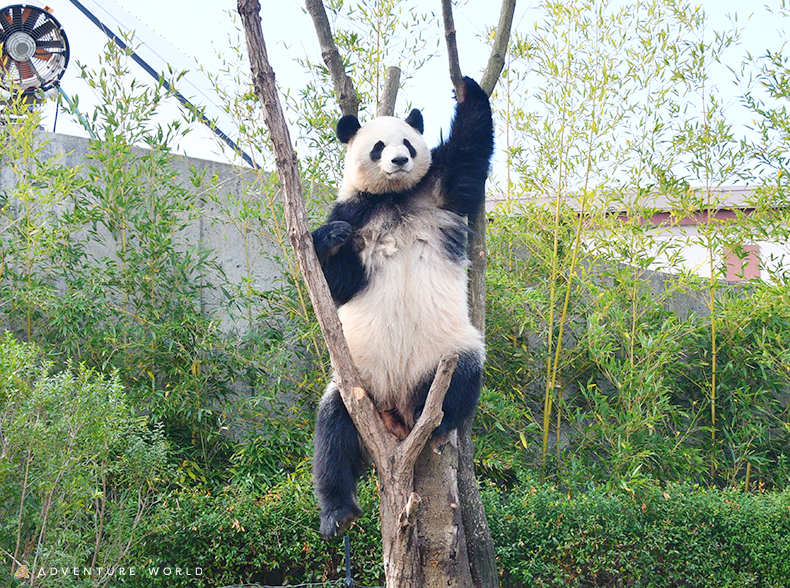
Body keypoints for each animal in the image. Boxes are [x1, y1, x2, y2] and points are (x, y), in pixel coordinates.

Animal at [312, 77, 492, 536]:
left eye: (408, 143)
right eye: (378, 146)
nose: (398, 160)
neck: (393, 198)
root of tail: (395, 407)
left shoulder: (437, 188)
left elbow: (469, 152)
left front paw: (466, 88)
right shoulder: (353, 210)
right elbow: (339, 285)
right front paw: (329, 239)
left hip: (445, 351)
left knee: (462, 374)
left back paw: (438, 415)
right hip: (356, 382)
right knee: (333, 433)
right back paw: (337, 513)